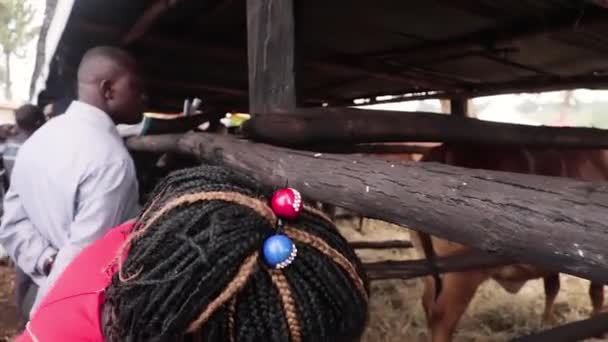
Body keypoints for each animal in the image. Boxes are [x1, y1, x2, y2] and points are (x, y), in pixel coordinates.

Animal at [414, 144, 608, 342]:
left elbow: (552, 287)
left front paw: (547, 321)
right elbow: (596, 293)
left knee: (428, 304)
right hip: (462, 273)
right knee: (443, 316)